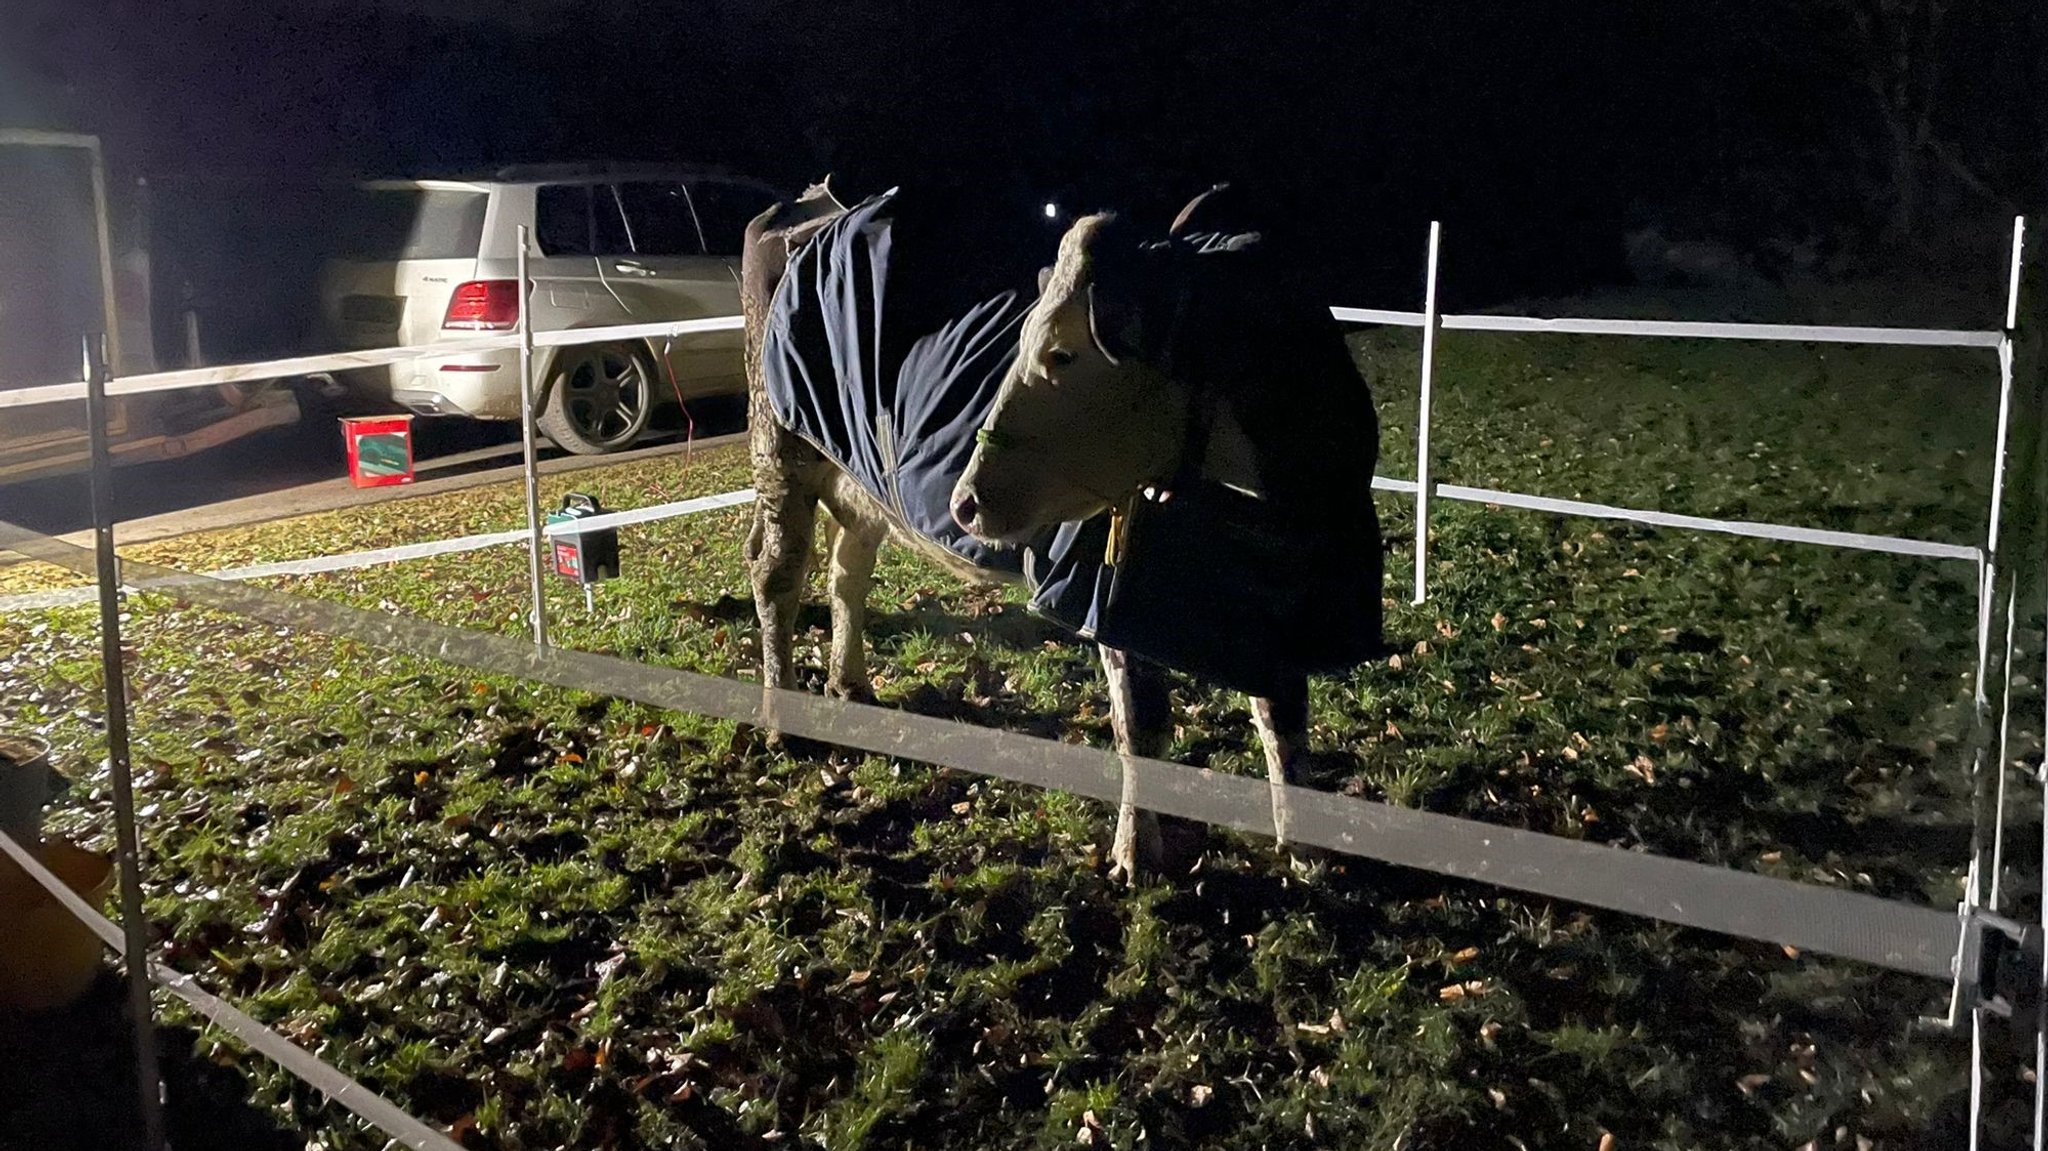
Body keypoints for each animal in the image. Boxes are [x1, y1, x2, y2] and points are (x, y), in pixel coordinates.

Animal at [729, 179, 1384, 876]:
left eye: (1062, 353)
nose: (964, 503)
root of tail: (817, 209)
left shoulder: (1288, 611)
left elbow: (1283, 719)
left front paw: (1306, 848)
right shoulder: (1111, 596)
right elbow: (1141, 727)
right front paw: (1134, 854)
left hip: (858, 482)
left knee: (847, 570)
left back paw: (848, 681)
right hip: (779, 450)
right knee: (776, 577)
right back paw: (782, 716)